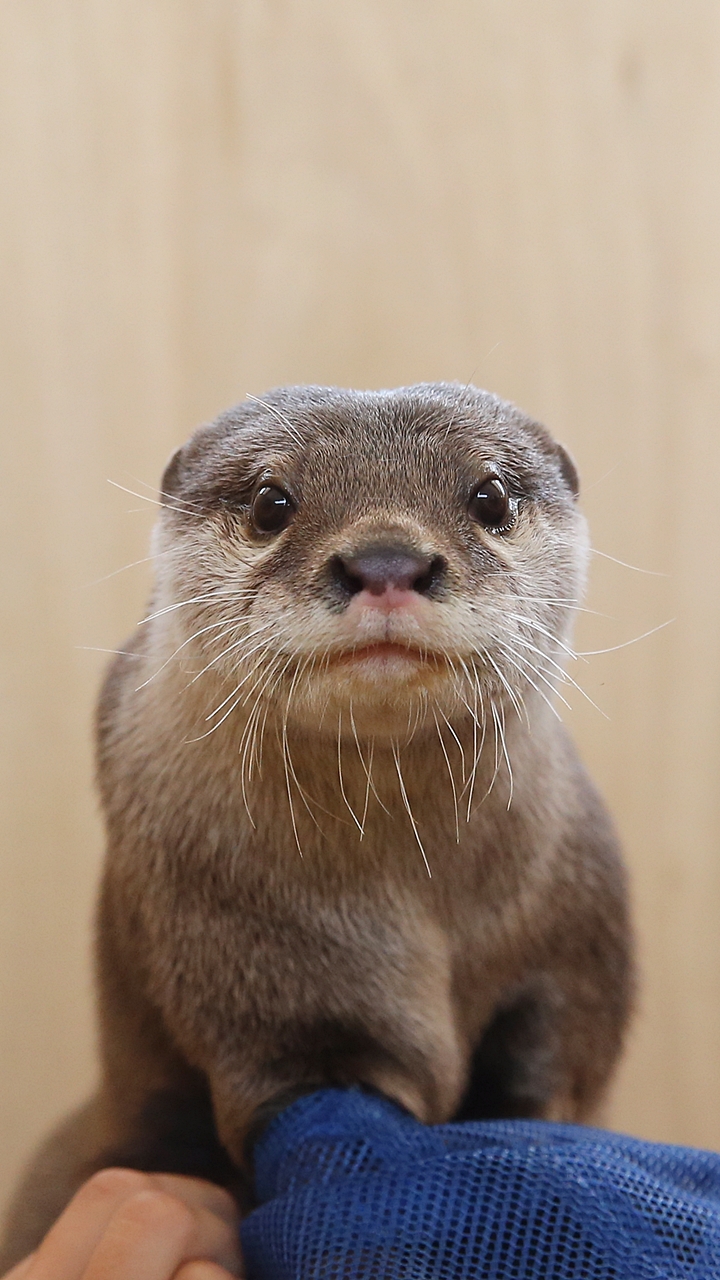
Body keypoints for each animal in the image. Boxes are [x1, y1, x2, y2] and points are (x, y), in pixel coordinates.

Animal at [0, 384, 630, 1264]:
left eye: (490, 497)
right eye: (272, 502)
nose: (387, 562)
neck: (411, 902)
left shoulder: (571, 935)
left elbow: (552, 1063)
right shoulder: (253, 973)